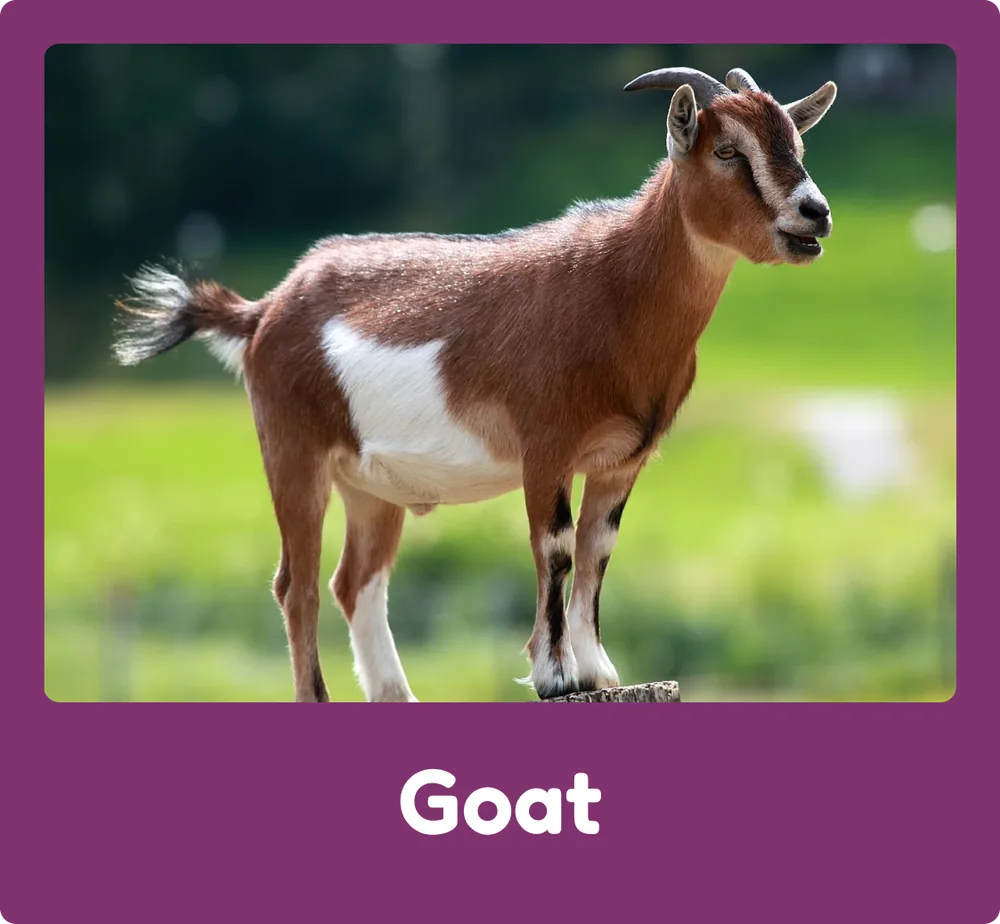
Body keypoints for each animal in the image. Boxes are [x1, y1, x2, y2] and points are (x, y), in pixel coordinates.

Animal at [112, 65, 838, 703]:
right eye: (727, 150)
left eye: (796, 145)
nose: (816, 213)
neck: (616, 291)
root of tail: (263, 310)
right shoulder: (545, 447)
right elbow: (557, 548)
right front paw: (555, 675)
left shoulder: (623, 458)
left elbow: (598, 550)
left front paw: (598, 670)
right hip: (293, 449)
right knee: (300, 584)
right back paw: (317, 696)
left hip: (370, 486)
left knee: (355, 582)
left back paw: (397, 695)